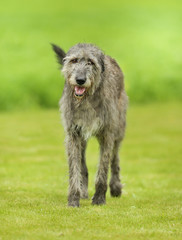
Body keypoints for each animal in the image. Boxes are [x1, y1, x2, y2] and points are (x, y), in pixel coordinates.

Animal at [51, 42, 128, 206]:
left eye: (91, 62)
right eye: (74, 61)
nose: (80, 80)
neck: (86, 99)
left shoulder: (107, 133)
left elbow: (103, 168)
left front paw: (99, 198)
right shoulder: (73, 134)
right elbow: (74, 168)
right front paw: (74, 199)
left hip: (119, 127)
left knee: (115, 158)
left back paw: (115, 186)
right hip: (83, 140)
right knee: (83, 166)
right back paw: (83, 192)